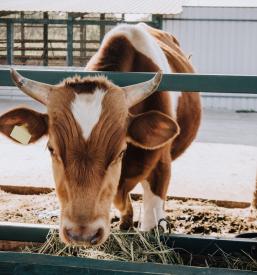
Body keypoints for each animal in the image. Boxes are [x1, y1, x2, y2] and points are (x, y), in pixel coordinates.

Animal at [0, 23, 200, 247]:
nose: (82, 234)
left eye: (121, 152)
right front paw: (125, 222)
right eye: (52, 149)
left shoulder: (160, 167)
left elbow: (150, 217)